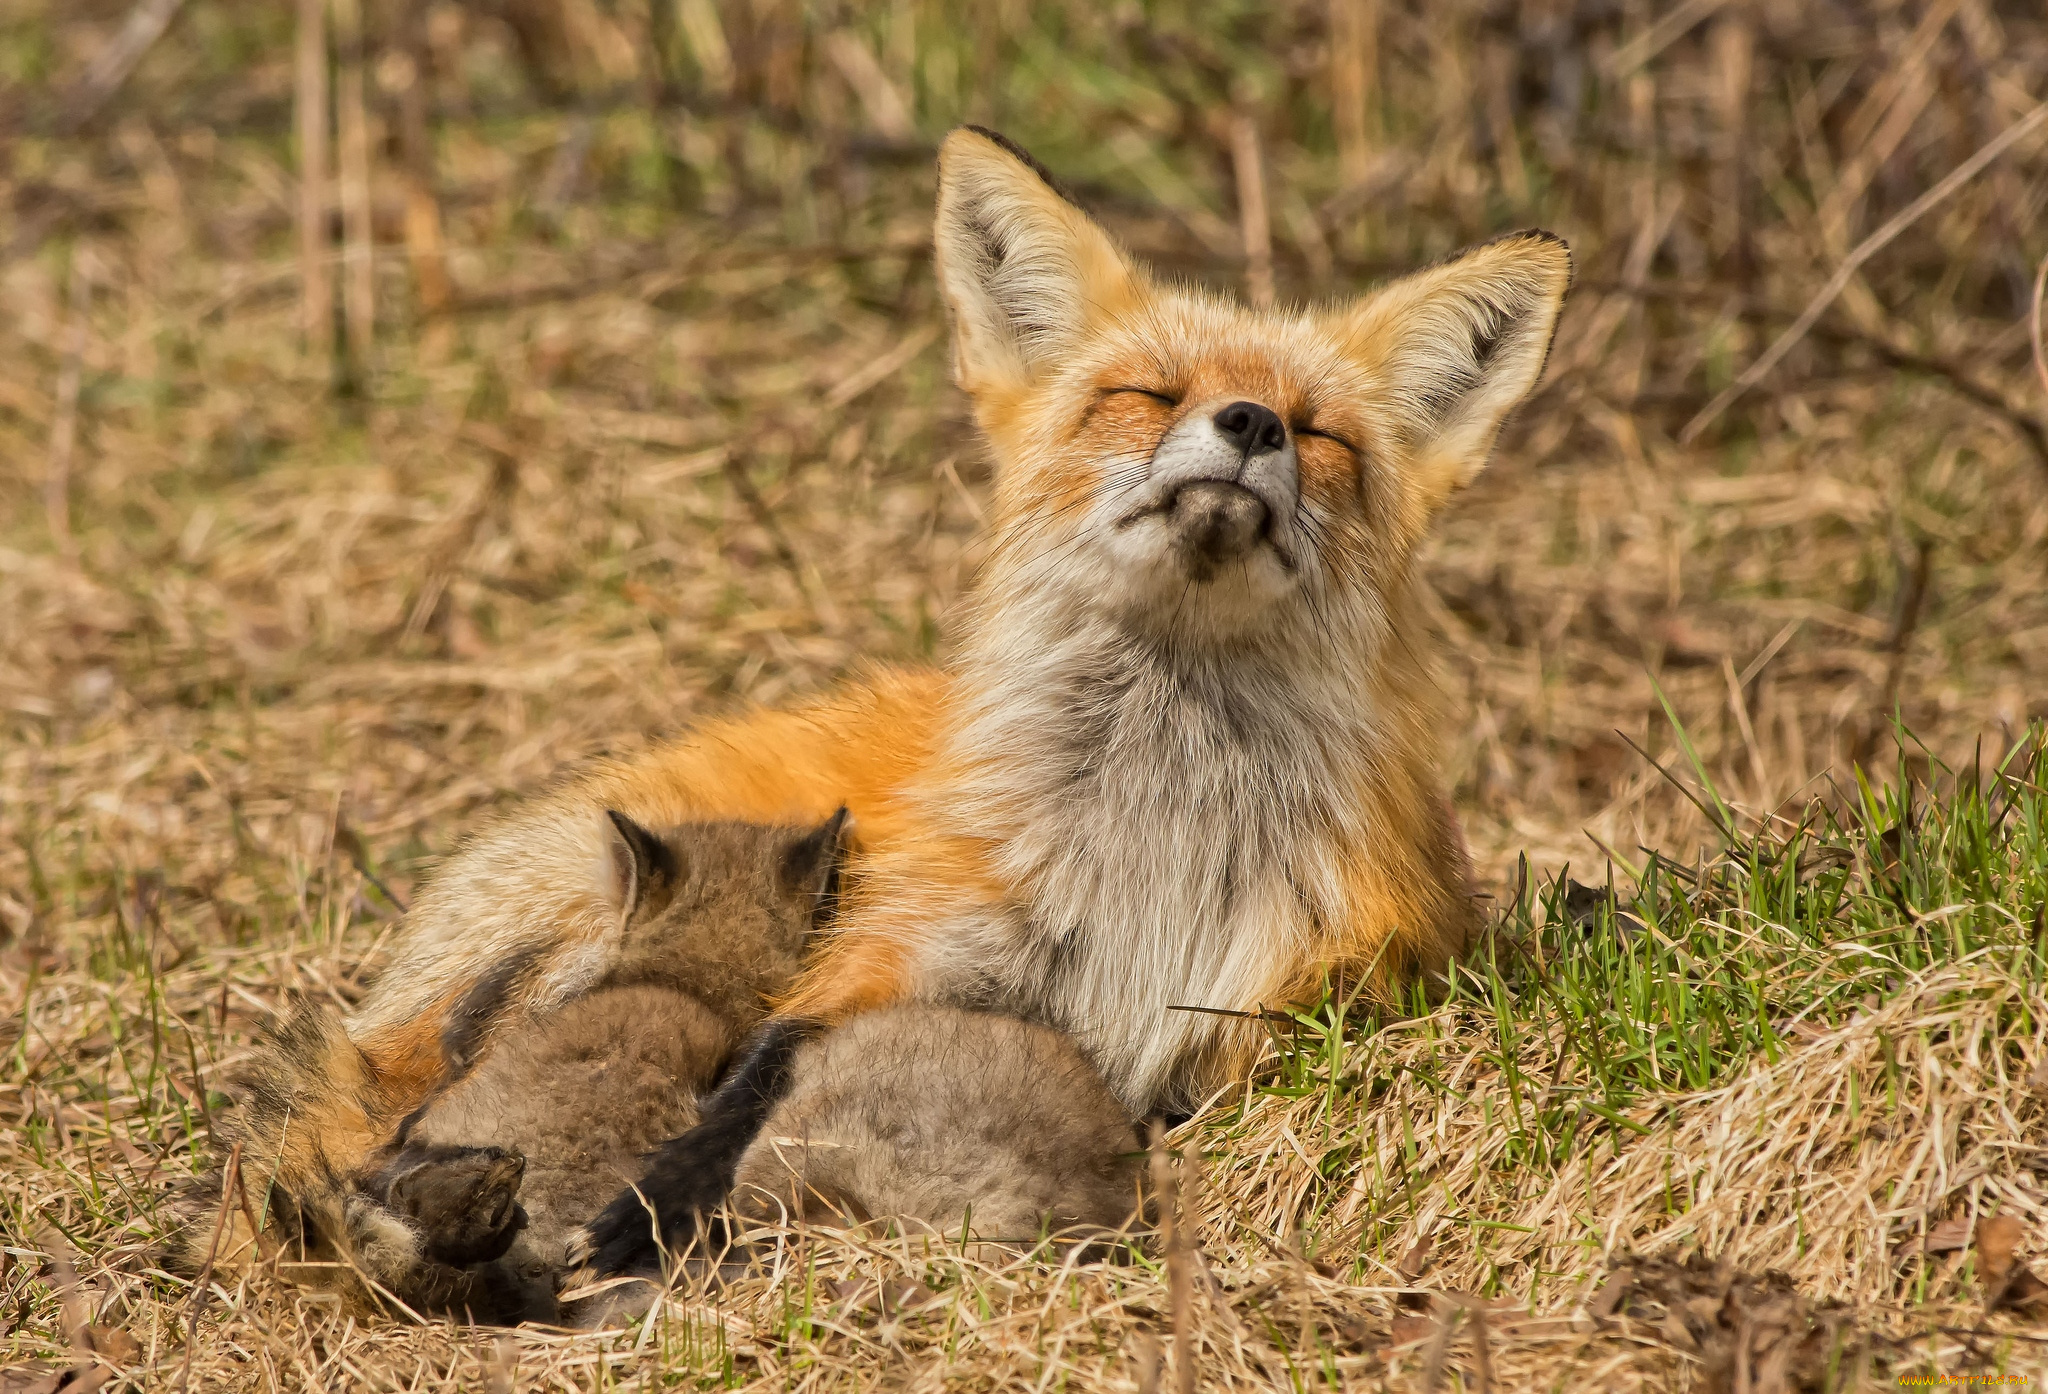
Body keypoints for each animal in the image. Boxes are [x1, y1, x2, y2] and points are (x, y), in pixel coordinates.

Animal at [188, 127, 1564, 1285]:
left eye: (1319, 433)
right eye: (1147, 395)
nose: (1249, 423)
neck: (1146, 846)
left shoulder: (1283, 1007)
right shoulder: (896, 953)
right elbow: (759, 1066)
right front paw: (650, 1199)